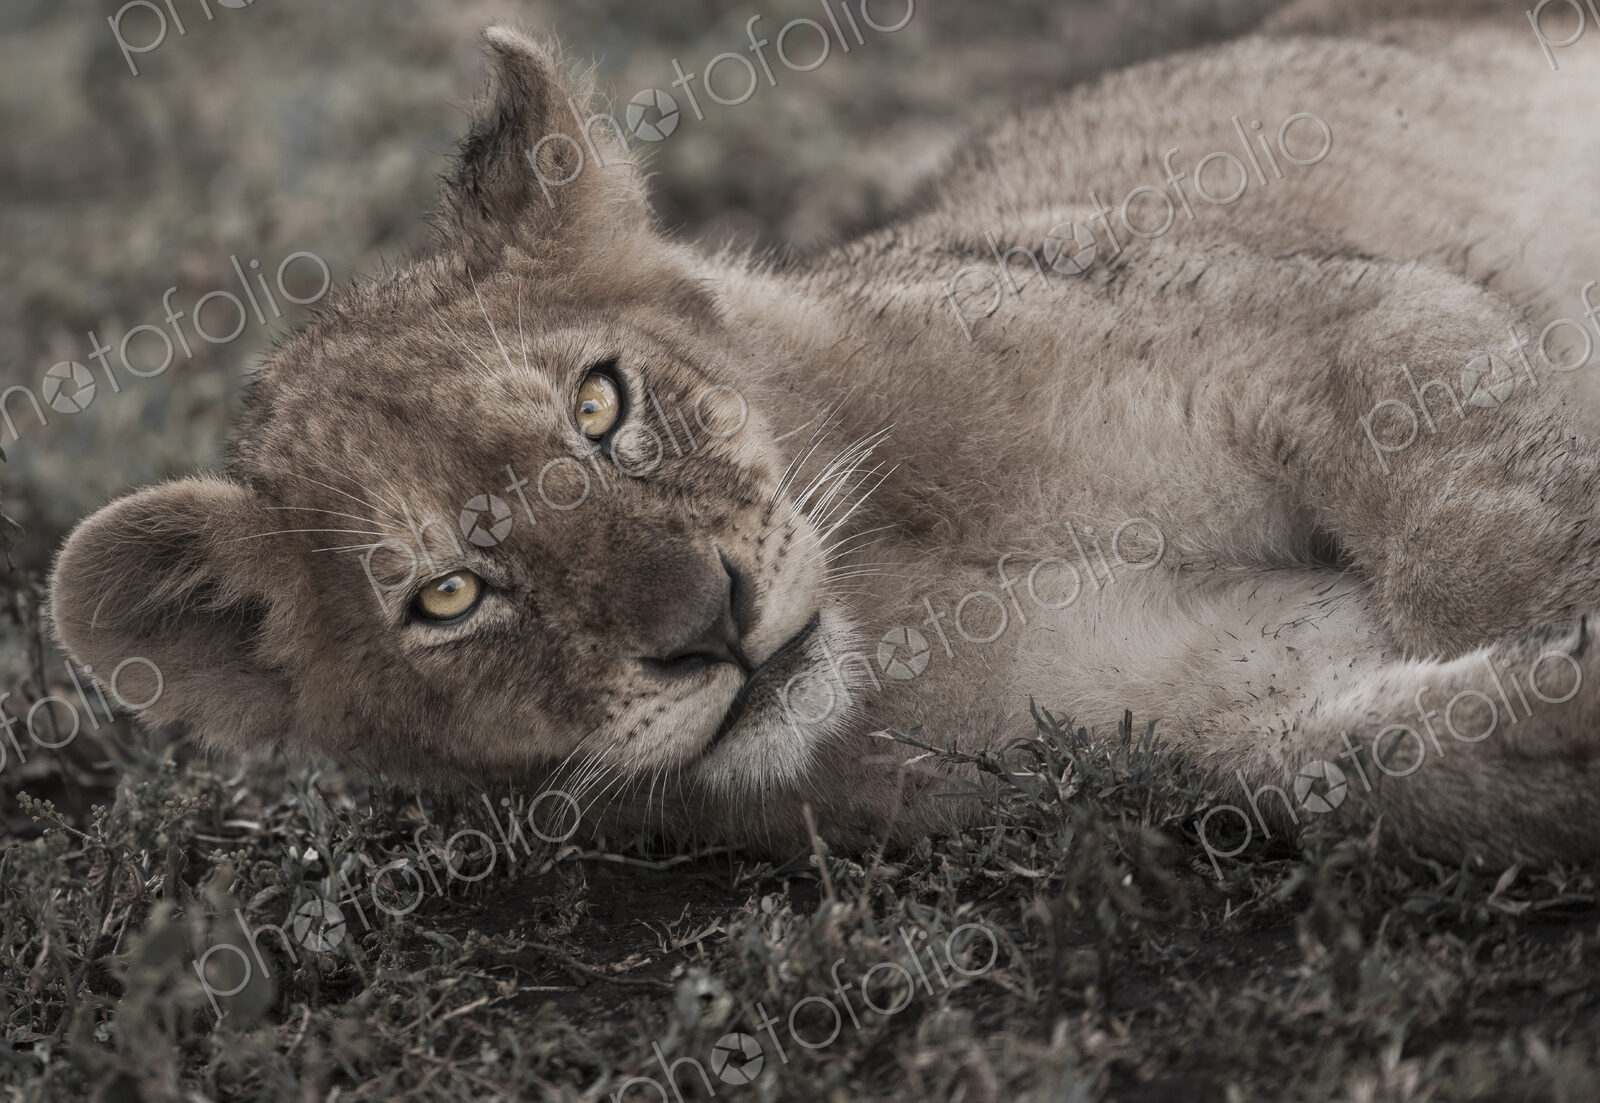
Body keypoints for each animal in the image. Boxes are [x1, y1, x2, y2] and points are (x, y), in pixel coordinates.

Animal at [47, 0, 1600, 867]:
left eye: (601, 405)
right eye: (449, 597)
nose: (711, 625)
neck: (904, 583)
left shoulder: (1310, 324)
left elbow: (1480, 525)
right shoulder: (1203, 699)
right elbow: (1404, 760)